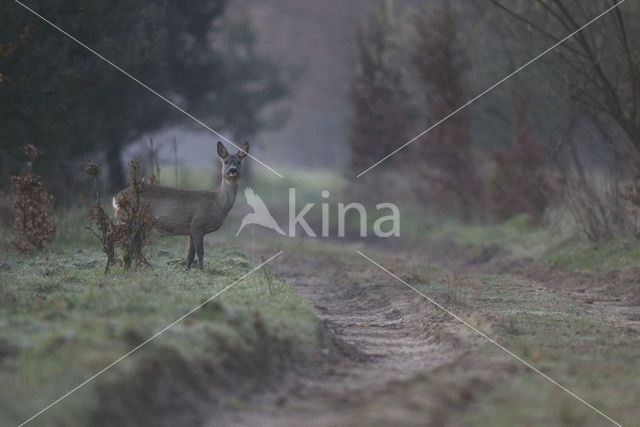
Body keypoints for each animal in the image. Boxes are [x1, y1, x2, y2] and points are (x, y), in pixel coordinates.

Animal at [113, 141, 248, 270]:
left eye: (239, 161)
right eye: (226, 162)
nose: (233, 170)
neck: (217, 203)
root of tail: (116, 197)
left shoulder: (190, 230)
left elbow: (190, 254)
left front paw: (187, 270)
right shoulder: (197, 224)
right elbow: (200, 252)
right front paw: (202, 271)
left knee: (132, 244)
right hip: (134, 218)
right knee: (127, 242)